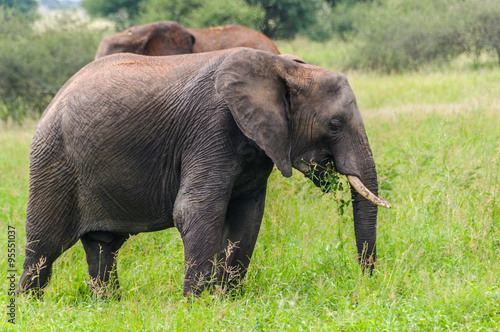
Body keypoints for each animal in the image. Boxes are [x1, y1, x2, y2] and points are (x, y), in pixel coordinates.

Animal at [17, 47, 390, 298]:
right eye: (335, 125)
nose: (365, 281)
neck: (283, 66)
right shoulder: (210, 127)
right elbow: (195, 210)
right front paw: (196, 305)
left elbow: (247, 216)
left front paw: (229, 300)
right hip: (53, 161)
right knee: (43, 248)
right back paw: (31, 308)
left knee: (103, 247)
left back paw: (109, 306)